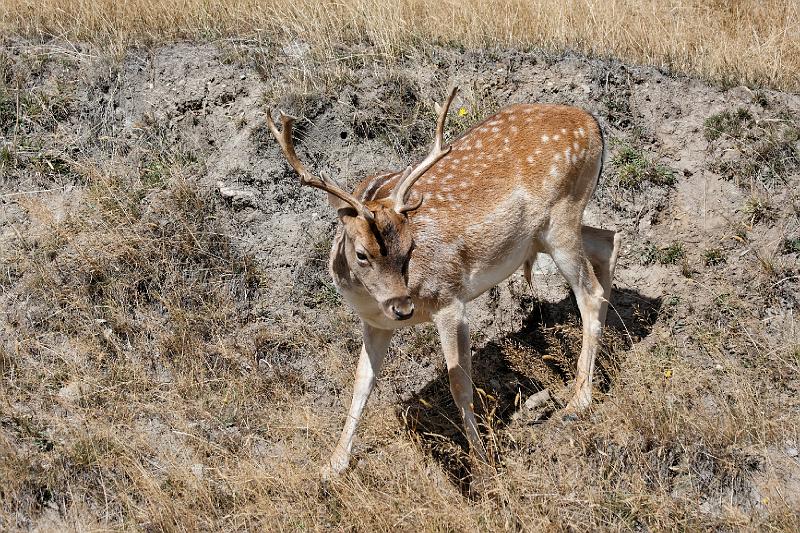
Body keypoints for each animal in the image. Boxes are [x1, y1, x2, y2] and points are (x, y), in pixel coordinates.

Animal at [266, 87, 620, 478]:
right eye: (361, 254)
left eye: (410, 247)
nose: (403, 307)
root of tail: (593, 124)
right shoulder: (375, 323)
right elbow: (361, 382)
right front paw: (333, 465)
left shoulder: (449, 299)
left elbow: (459, 385)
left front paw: (482, 463)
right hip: (547, 233)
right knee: (608, 241)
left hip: (561, 218)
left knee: (590, 291)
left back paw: (578, 401)